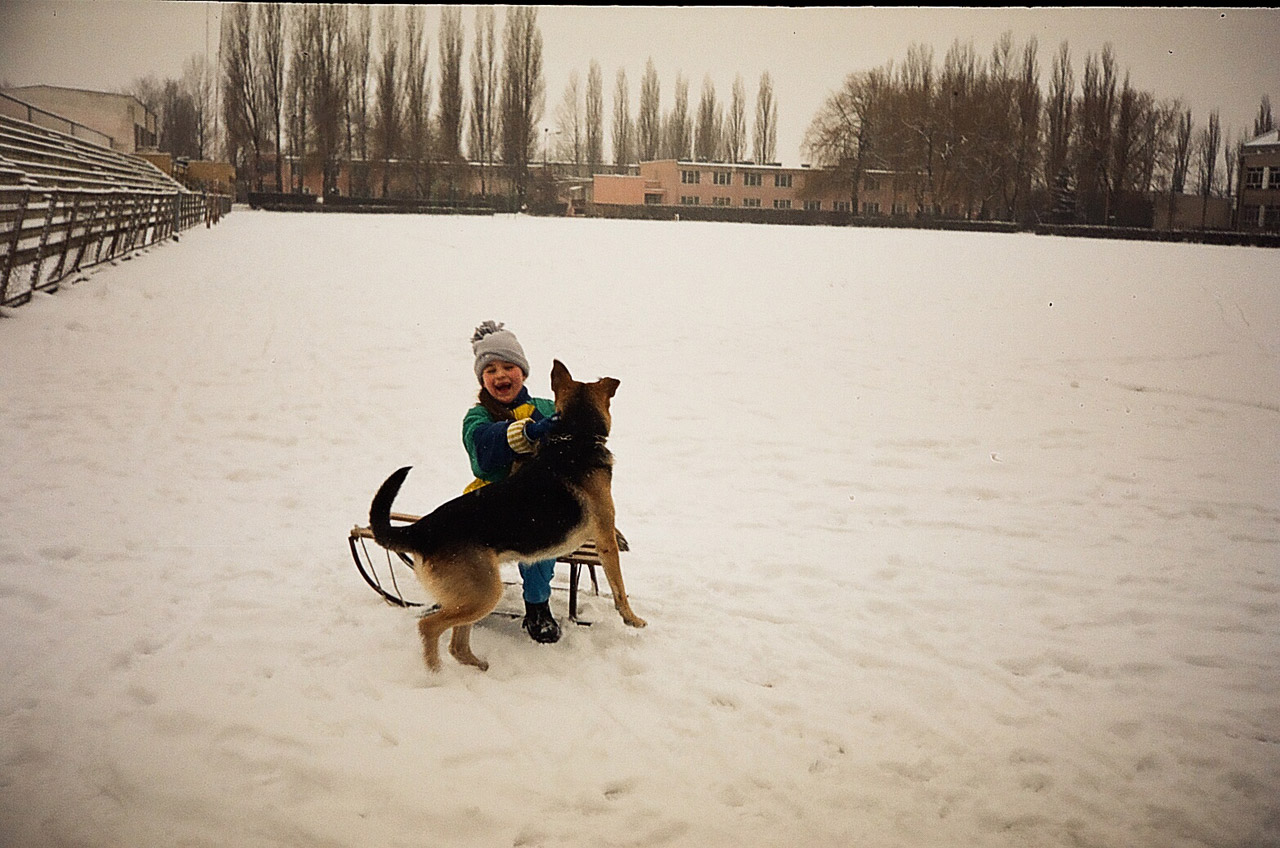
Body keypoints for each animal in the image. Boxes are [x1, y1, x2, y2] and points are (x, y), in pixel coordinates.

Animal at [371, 361, 650, 676]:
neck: (573, 437)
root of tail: (422, 528)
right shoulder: (604, 537)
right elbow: (619, 588)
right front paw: (632, 618)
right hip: (484, 594)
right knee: (429, 626)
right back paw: (436, 674)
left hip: (478, 594)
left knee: (457, 644)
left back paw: (478, 667)